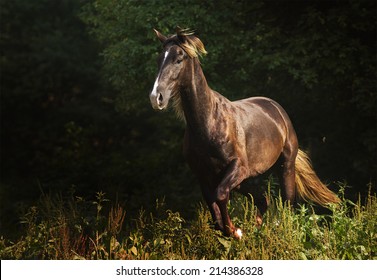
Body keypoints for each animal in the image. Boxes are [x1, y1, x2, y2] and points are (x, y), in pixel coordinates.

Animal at [148, 27, 340, 238]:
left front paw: (236, 231)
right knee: (263, 200)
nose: (156, 98)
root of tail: (276, 108)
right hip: (247, 179)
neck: (209, 123)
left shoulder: (237, 168)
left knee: (287, 204)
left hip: (284, 167)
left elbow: (221, 195)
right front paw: (233, 231)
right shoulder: (204, 176)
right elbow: (214, 211)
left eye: (179, 59)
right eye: (159, 59)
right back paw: (258, 229)